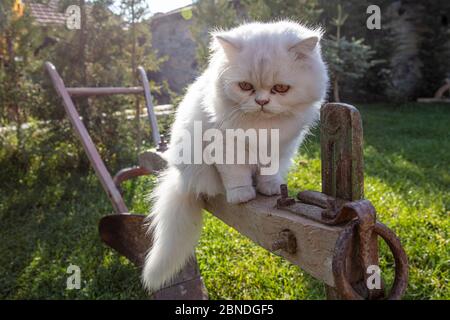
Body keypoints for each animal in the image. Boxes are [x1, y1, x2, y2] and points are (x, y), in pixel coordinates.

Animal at [142, 19, 328, 290]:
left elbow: (269, 172)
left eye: (280, 88)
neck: (261, 127)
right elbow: (236, 176)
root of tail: (180, 179)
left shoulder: (278, 149)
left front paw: (270, 189)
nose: (262, 102)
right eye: (246, 87)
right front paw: (242, 195)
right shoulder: (226, 148)